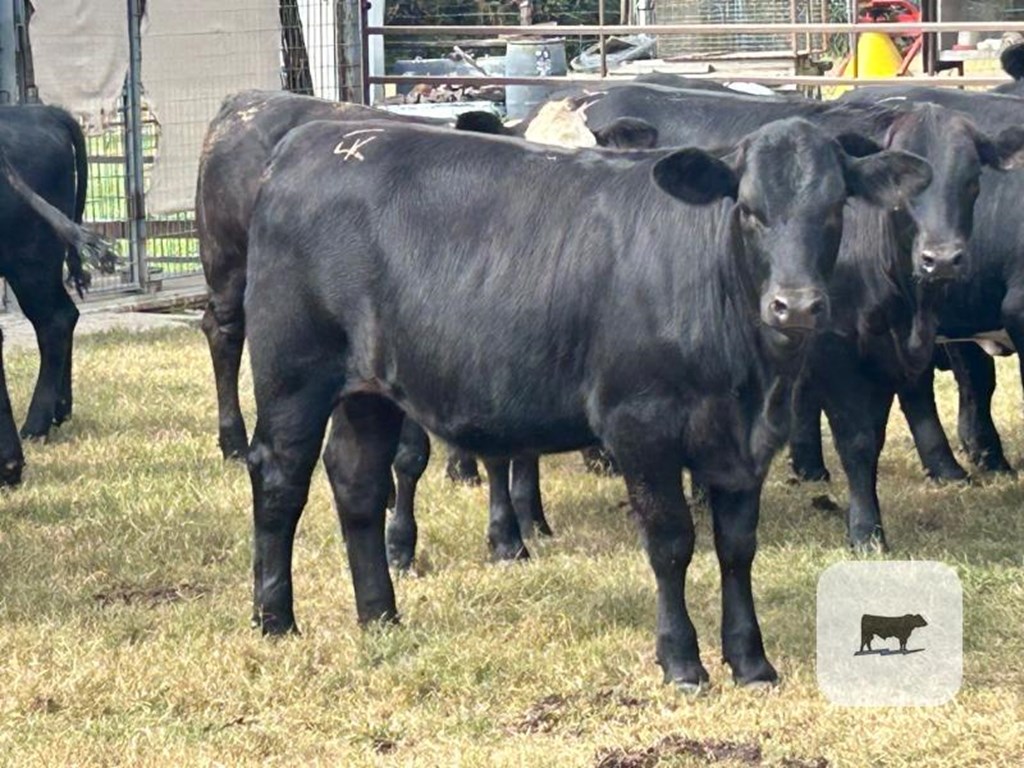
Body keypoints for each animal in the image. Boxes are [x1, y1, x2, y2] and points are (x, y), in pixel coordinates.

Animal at [0, 104, 99, 479]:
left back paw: (35, 425)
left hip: (31, 260)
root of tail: (41, 111)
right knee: (65, 314)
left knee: (55, 319)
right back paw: (59, 410)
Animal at [241, 117, 929, 688]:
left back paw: (380, 615)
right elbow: (671, 542)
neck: (751, 378)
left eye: (835, 210)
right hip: (293, 373)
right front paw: (682, 662)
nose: (796, 306)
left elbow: (736, 548)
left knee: (357, 484)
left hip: (368, 393)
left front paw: (751, 662)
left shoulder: (745, 445)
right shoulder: (640, 424)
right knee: (279, 480)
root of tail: (310, 141)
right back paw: (275, 619)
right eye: (751, 211)